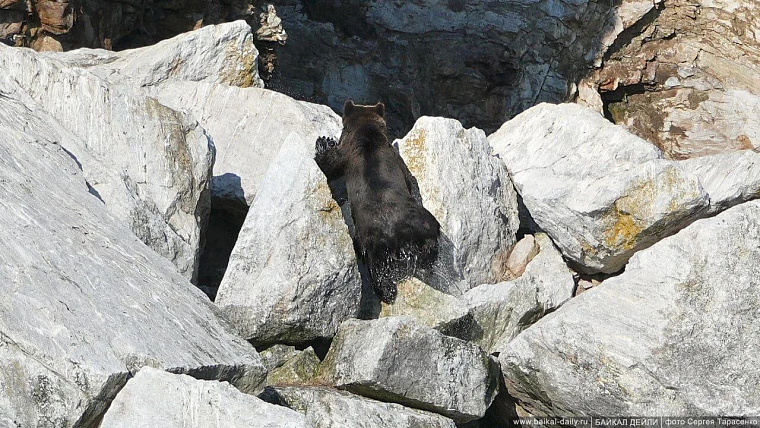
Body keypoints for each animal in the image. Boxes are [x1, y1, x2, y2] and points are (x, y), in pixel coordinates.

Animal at [315, 100, 440, 303]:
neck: (368, 135)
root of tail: (396, 234)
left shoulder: (348, 153)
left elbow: (330, 165)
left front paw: (324, 141)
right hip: (417, 228)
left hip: (372, 240)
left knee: (376, 268)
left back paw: (386, 292)